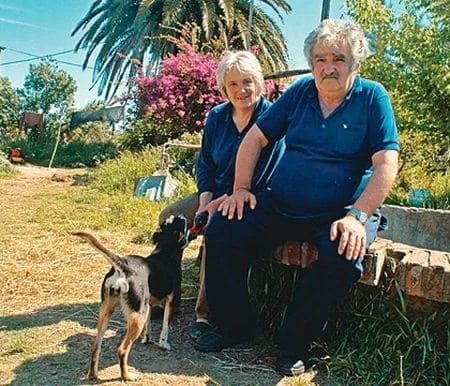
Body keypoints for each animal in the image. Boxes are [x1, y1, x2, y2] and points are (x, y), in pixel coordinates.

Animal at [74, 216, 186, 382]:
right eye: (182, 222)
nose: (184, 216)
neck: (165, 250)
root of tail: (123, 266)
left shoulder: (148, 306)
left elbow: (148, 327)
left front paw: (147, 339)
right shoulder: (171, 302)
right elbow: (165, 327)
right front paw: (164, 344)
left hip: (107, 312)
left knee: (95, 347)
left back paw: (93, 374)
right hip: (136, 316)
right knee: (122, 350)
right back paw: (127, 376)